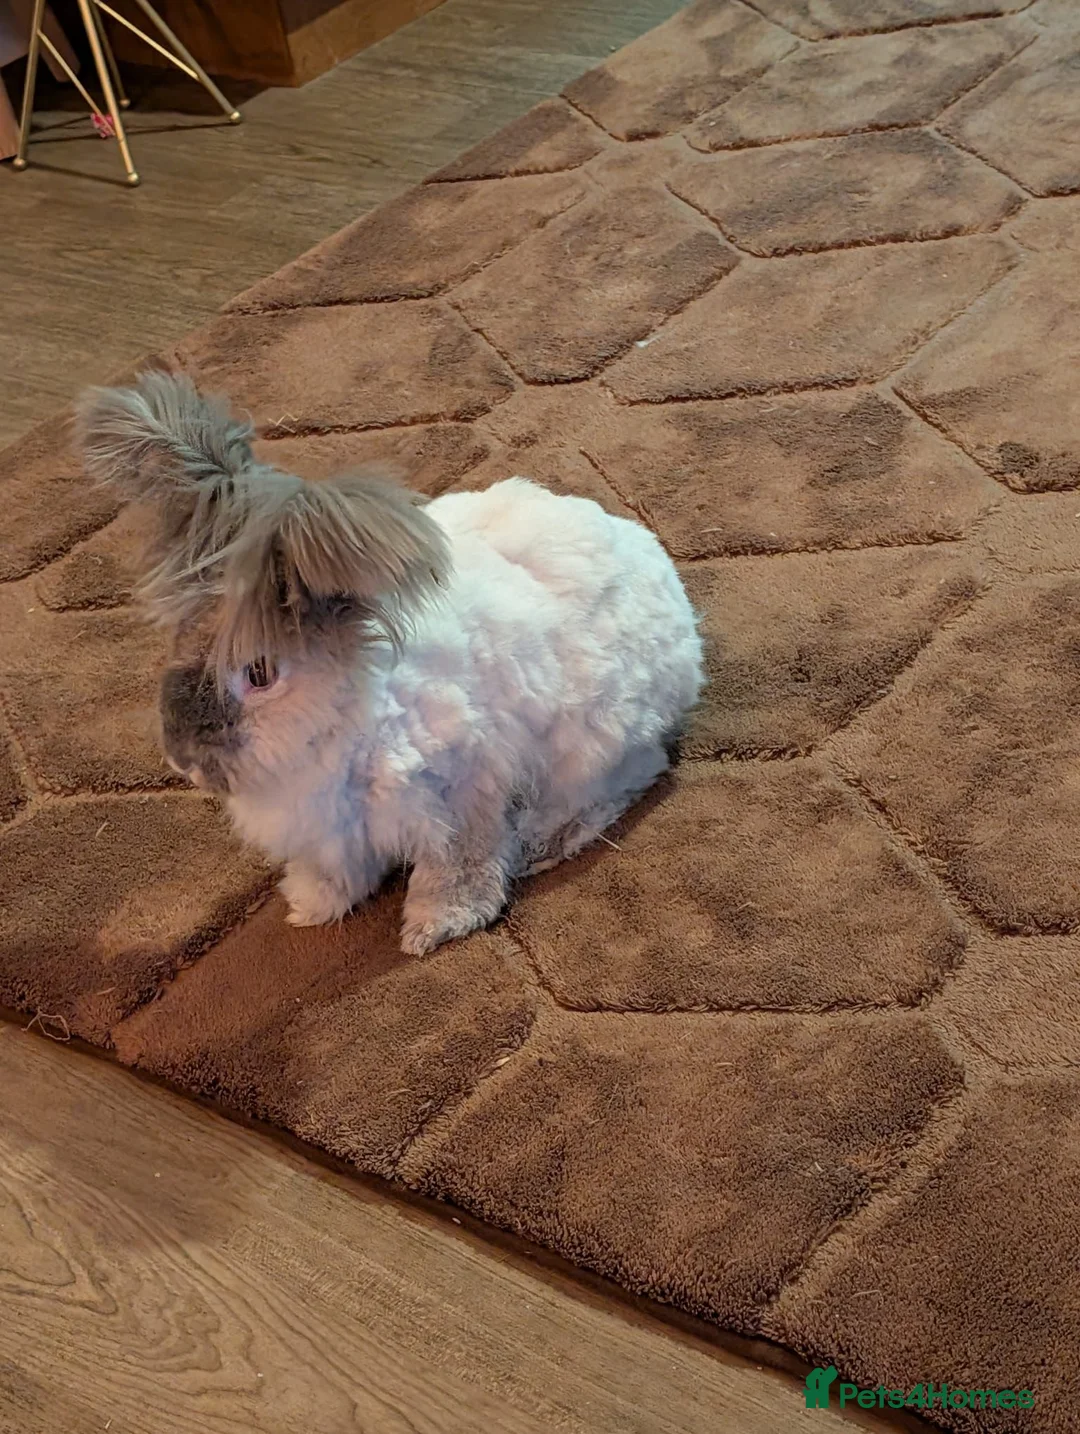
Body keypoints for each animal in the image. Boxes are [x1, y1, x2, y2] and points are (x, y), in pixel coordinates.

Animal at [77, 371, 704, 955]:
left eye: (258, 674)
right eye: (180, 641)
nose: (181, 761)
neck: (346, 726)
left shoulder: (466, 792)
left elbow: (457, 867)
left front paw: (433, 928)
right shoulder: (331, 832)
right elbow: (336, 872)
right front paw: (309, 907)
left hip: (594, 739)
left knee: (630, 777)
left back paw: (542, 841)